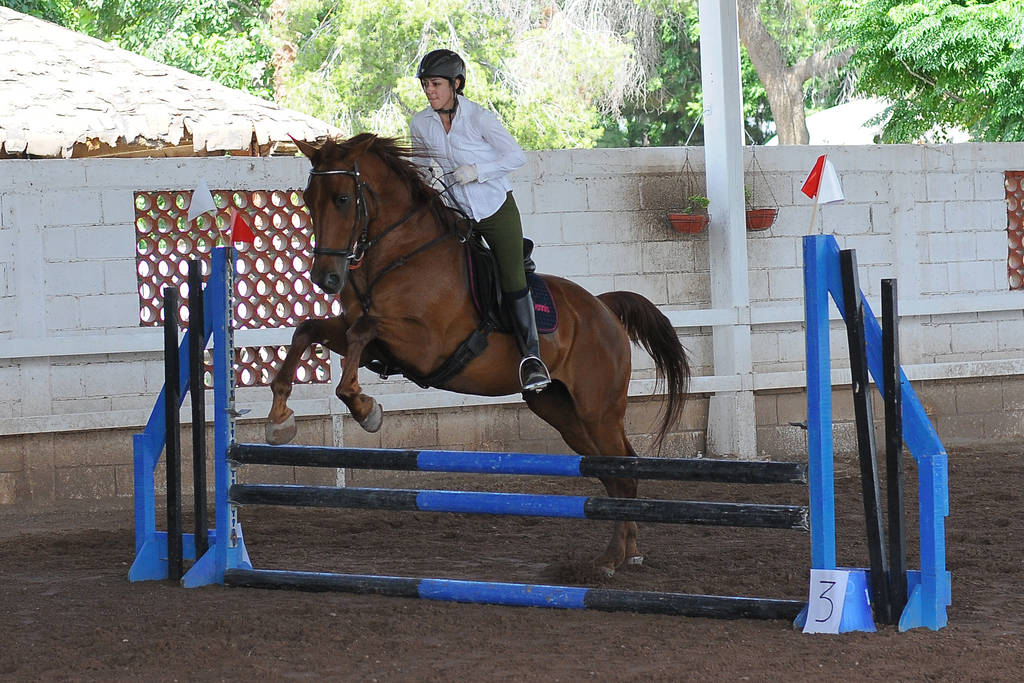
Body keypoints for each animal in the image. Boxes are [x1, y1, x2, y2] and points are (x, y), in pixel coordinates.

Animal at [268, 133, 692, 577]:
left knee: (622, 472)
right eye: (307, 198)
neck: (398, 256)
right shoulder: (371, 343)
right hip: (561, 411)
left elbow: (362, 331)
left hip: (598, 410)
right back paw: (627, 551)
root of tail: (603, 308)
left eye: (343, 199)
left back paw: (613, 558)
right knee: (614, 472)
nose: (325, 278)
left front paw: (365, 408)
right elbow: (310, 330)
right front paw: (280, 420)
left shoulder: (424, 344)